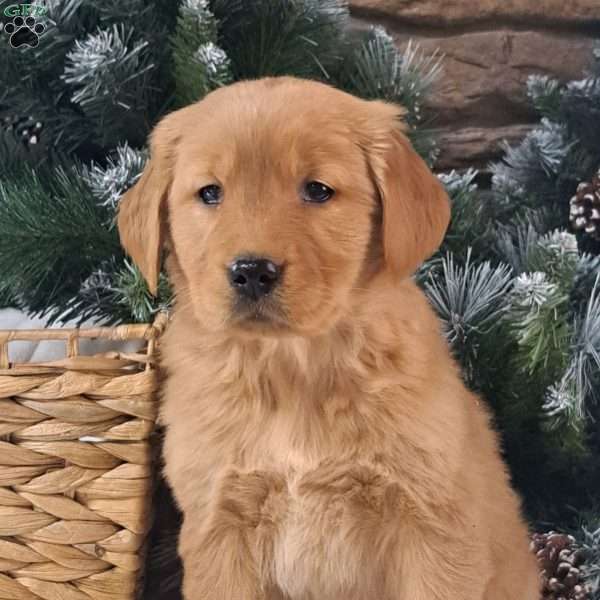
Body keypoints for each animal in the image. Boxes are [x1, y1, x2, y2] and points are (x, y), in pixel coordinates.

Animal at [117, 77, 540, 596]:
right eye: (210, 192)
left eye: (318, 190)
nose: (252, 271)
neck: (294, 368)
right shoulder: (220, 526)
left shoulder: (434, 529)